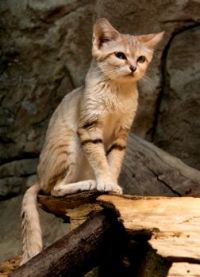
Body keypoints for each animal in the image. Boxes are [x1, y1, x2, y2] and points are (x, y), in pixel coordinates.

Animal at [20, 17, 164, 264]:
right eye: (120, 55)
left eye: (141, 59)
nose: (133, 68)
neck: (118, 91)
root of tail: (39, 177)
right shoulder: (89, 128)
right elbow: (99, 159)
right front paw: (105, 182)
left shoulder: (121, 134)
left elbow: (114, 161)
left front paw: (112, 185)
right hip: (70, 146)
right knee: (54, 189)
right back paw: (86, 184)